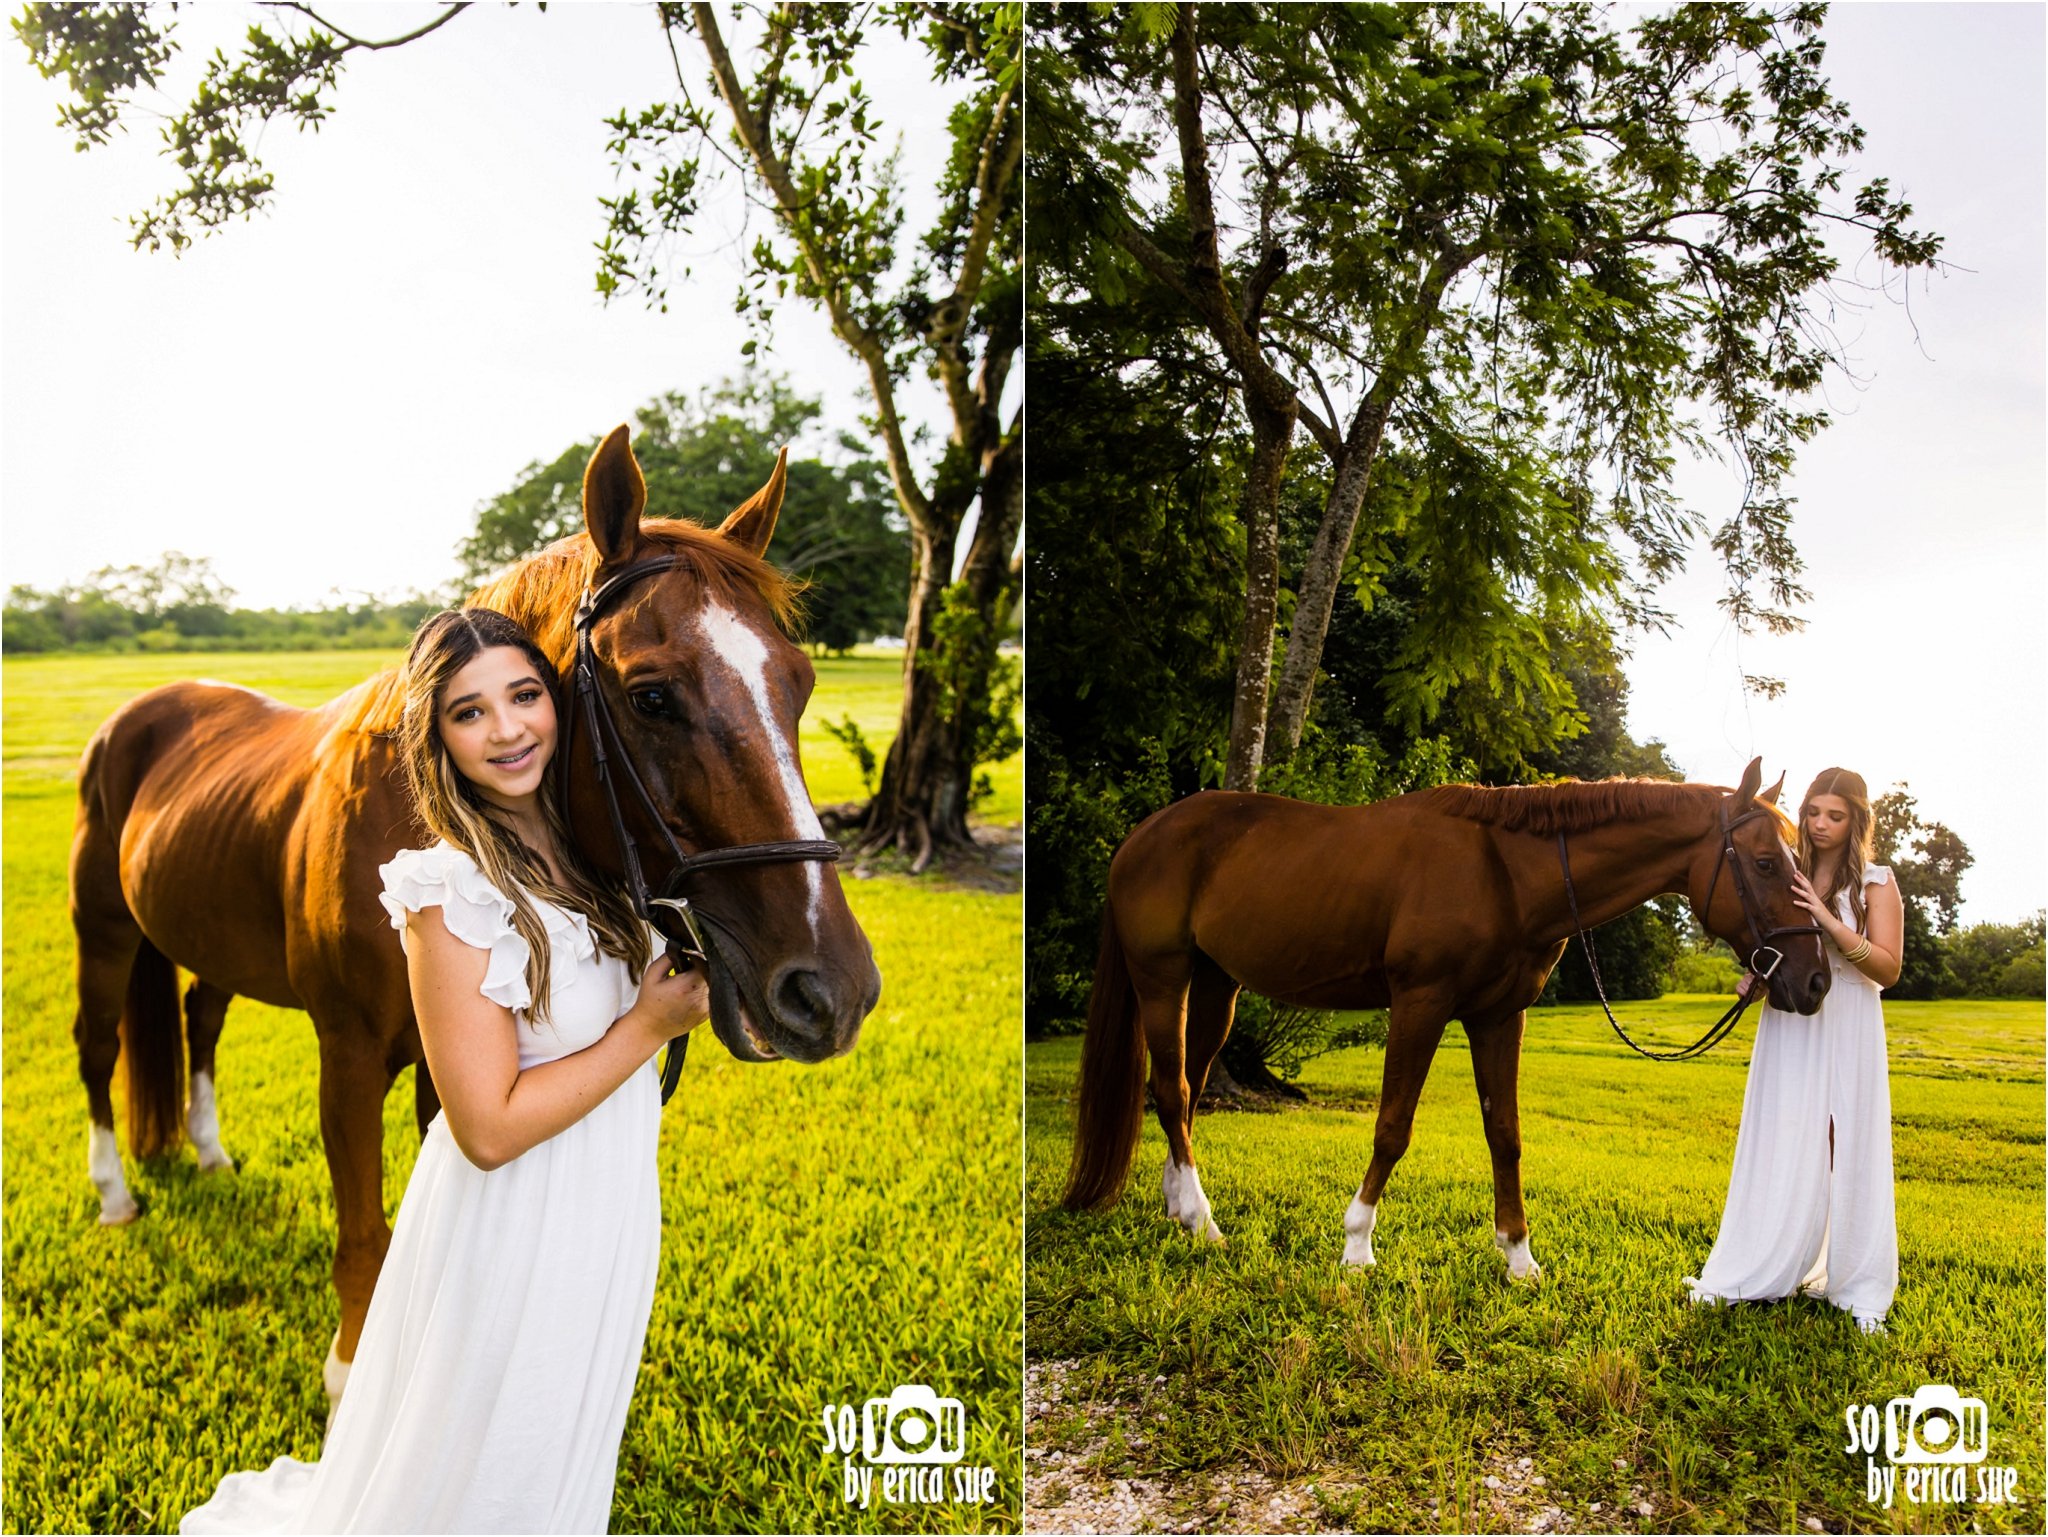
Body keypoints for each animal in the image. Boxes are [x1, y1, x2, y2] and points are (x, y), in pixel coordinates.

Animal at [61, 428, 880, 1418]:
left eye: (798, 685)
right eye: (652, 695)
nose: (832, 990)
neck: (428, 819)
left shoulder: (445, 1067)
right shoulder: (349, 1056)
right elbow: (366, 1226)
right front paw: (352, 1370)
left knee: (200, 1020)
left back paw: (209, 1151)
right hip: (103, 932)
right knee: (99, 1046)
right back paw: (113, 1192)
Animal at [1056, 754, 1826, 1278]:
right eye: (1765, 861)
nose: (1815, 978)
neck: (1505, 871)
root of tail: (1141, 837)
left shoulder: (1499, 1017)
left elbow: (1505, 1134)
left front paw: (1518, 1257)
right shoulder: (1420, 1004)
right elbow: (1393, 1126)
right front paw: (1357, 1244)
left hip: (1217, 987)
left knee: (1183, 1090)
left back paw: (1178, 1208)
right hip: (1162, 978)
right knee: (1173, 1089)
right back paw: (1202, 1219)